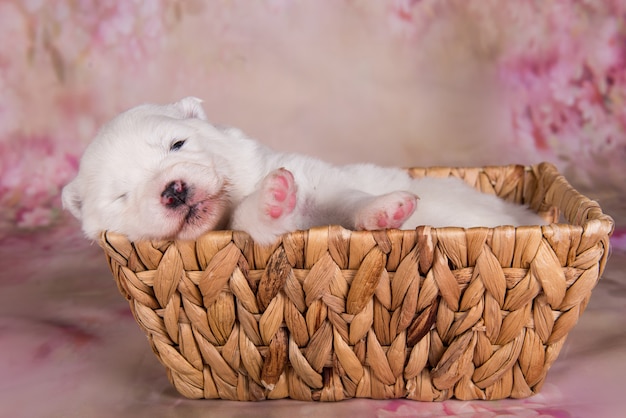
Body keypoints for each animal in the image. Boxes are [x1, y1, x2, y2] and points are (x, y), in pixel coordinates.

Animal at [61, 97, 544, 245]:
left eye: (176, 143)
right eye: (121, 195)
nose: (174, 190)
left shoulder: (321, 180)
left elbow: (347, 195)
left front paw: (384, 210)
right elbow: (254, 221)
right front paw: (273, 200)